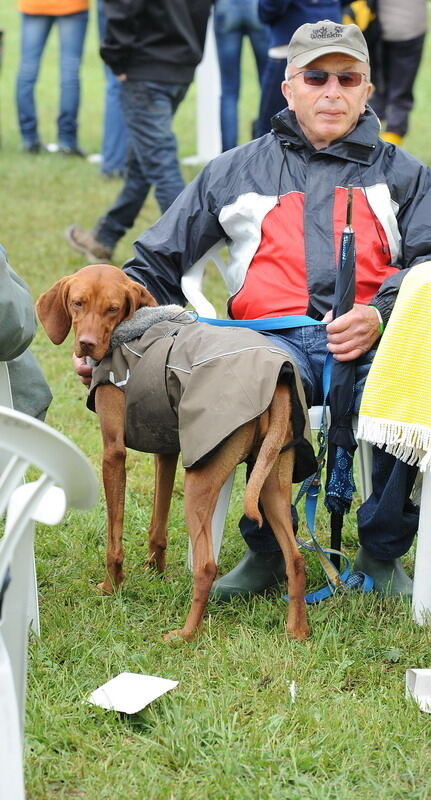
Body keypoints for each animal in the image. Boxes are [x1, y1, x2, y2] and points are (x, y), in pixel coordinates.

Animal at [38, 266, 310, 640]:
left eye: (112, 309)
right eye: (78, 303)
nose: (87, 344)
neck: (131, 332)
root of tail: (280, 379)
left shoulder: (113, 454)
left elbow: (114, 536)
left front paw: (112, 586)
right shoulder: (166, 451)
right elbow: (158, 523)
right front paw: (155, 571)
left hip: (200, 481)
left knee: (207, 565)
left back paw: (185, 634)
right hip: (271, 484)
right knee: (295, 559)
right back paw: (298, 631)